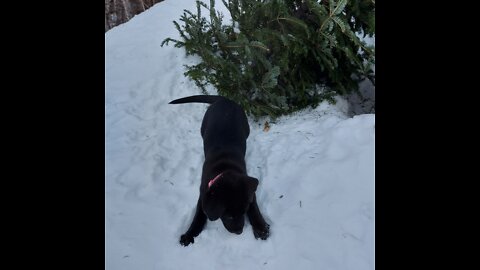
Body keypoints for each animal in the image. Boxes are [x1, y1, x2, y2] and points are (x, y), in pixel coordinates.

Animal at [170, 95, 270, 247]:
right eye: (229, 216)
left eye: (244, 212)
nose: (239, 232)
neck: (225, 169)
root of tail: (225, 99)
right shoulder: (203, 194)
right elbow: (199, 215)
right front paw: (189, 234)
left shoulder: (248, 188)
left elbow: (254, 207)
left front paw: (261, 227)